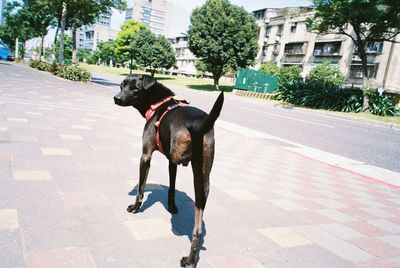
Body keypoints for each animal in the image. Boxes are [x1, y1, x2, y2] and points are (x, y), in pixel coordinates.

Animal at [114, 74, 223, 266]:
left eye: (135, 88)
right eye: (122, 85)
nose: (116, 98)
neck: (159, 104)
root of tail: (197, 123)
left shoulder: (145, 156)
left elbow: (141, 188)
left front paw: (135, 207)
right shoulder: (172, 163)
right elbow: (171, 186)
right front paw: (172, 206)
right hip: (204, 179)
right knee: (197, 227)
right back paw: (191, 260)